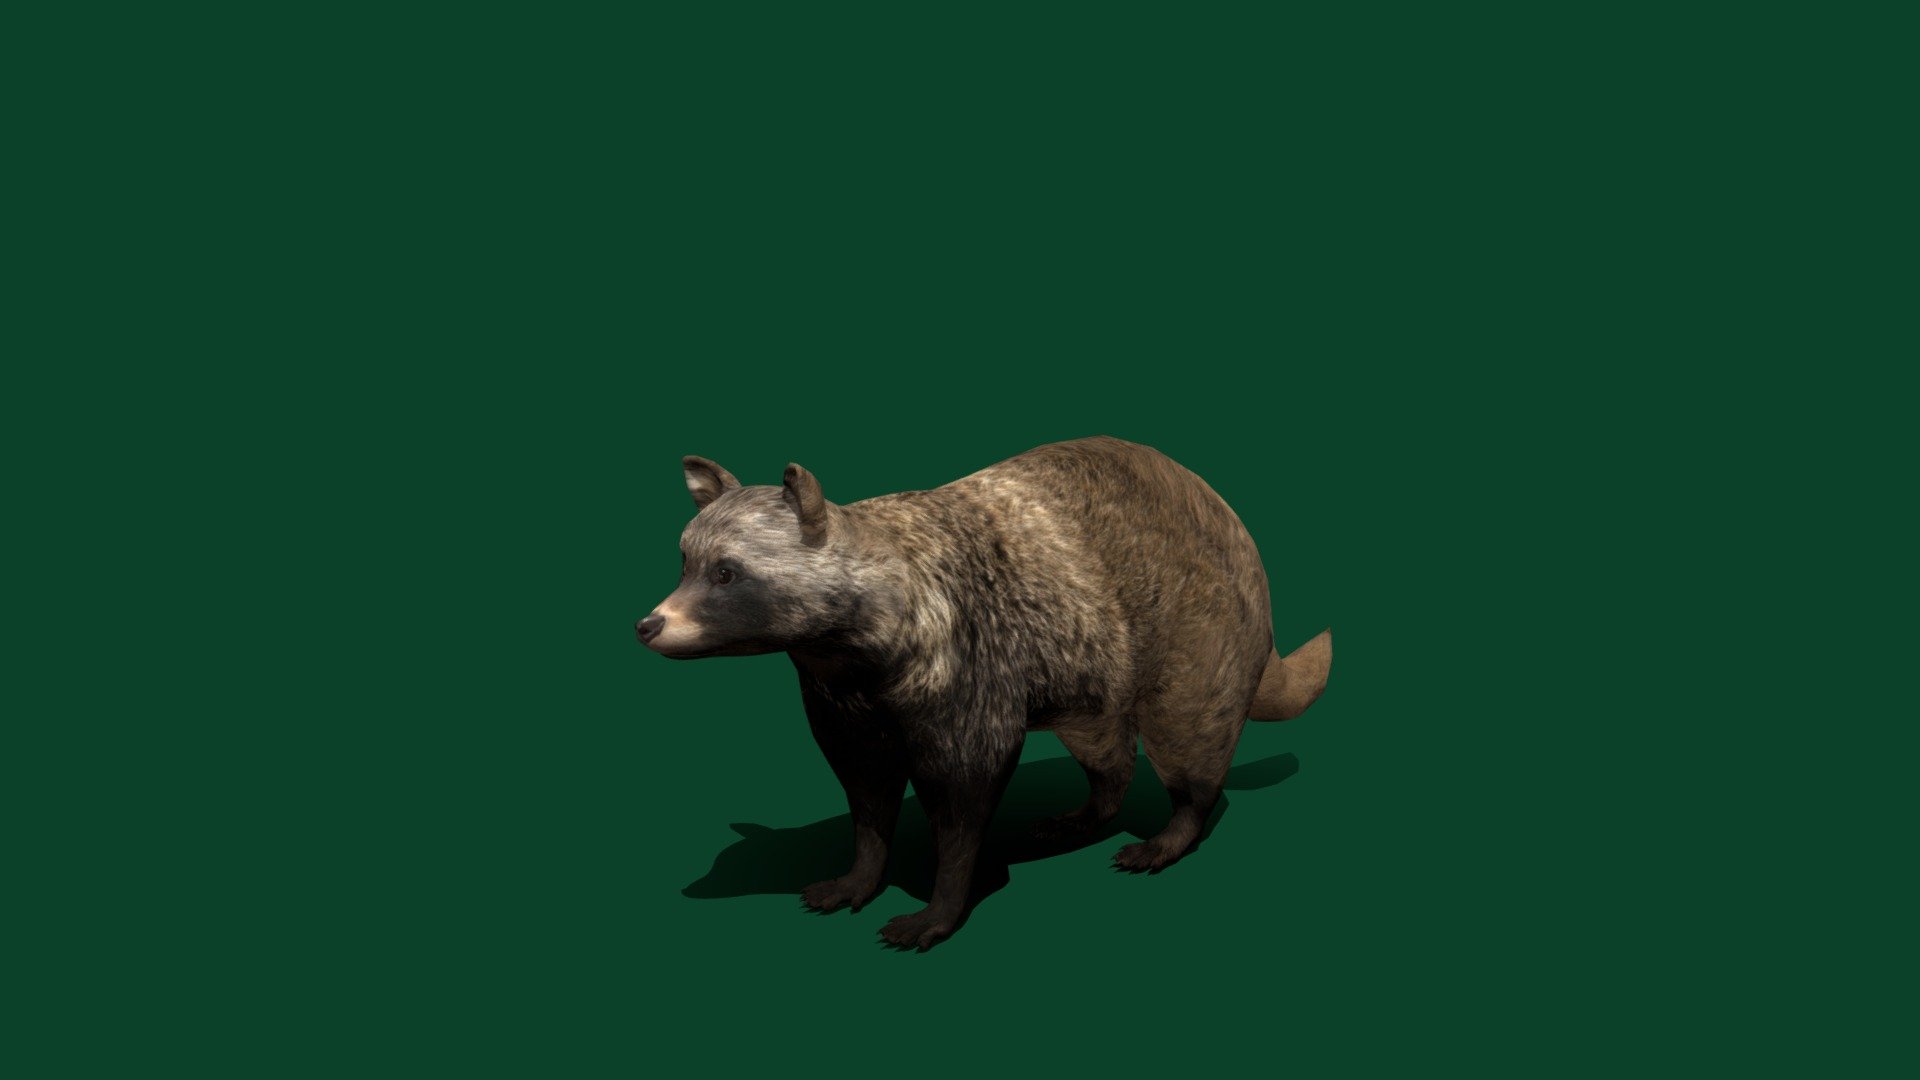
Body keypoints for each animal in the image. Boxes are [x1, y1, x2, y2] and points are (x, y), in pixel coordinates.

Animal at [637, 436, 1331, 950]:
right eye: (685, 564)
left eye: (727, 573)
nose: (648, 625)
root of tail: (1237, 531)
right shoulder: (838, 697)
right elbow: (865, 786)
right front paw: (862, 871)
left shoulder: (968, 659)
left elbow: (966, 788)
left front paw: (943, 900)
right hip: (1092, 667)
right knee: (1104, 746)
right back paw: (1095, 805)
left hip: (1197, 635)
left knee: (1188, 735)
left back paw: (1177, 826)